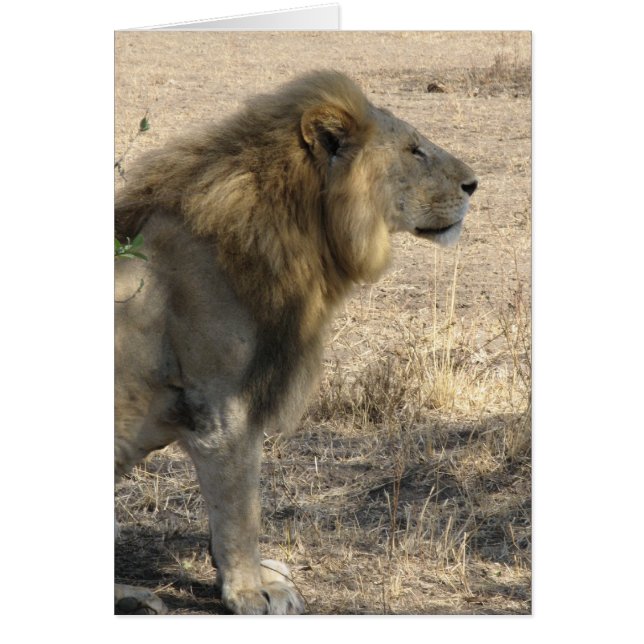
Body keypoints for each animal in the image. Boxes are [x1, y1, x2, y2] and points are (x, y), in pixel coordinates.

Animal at [115, 70, 477, 614]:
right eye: (414, 150)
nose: (474, 184)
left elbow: (232, 509)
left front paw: (248, 576)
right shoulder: (221, 406)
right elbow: (241, 508)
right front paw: (250, 591)